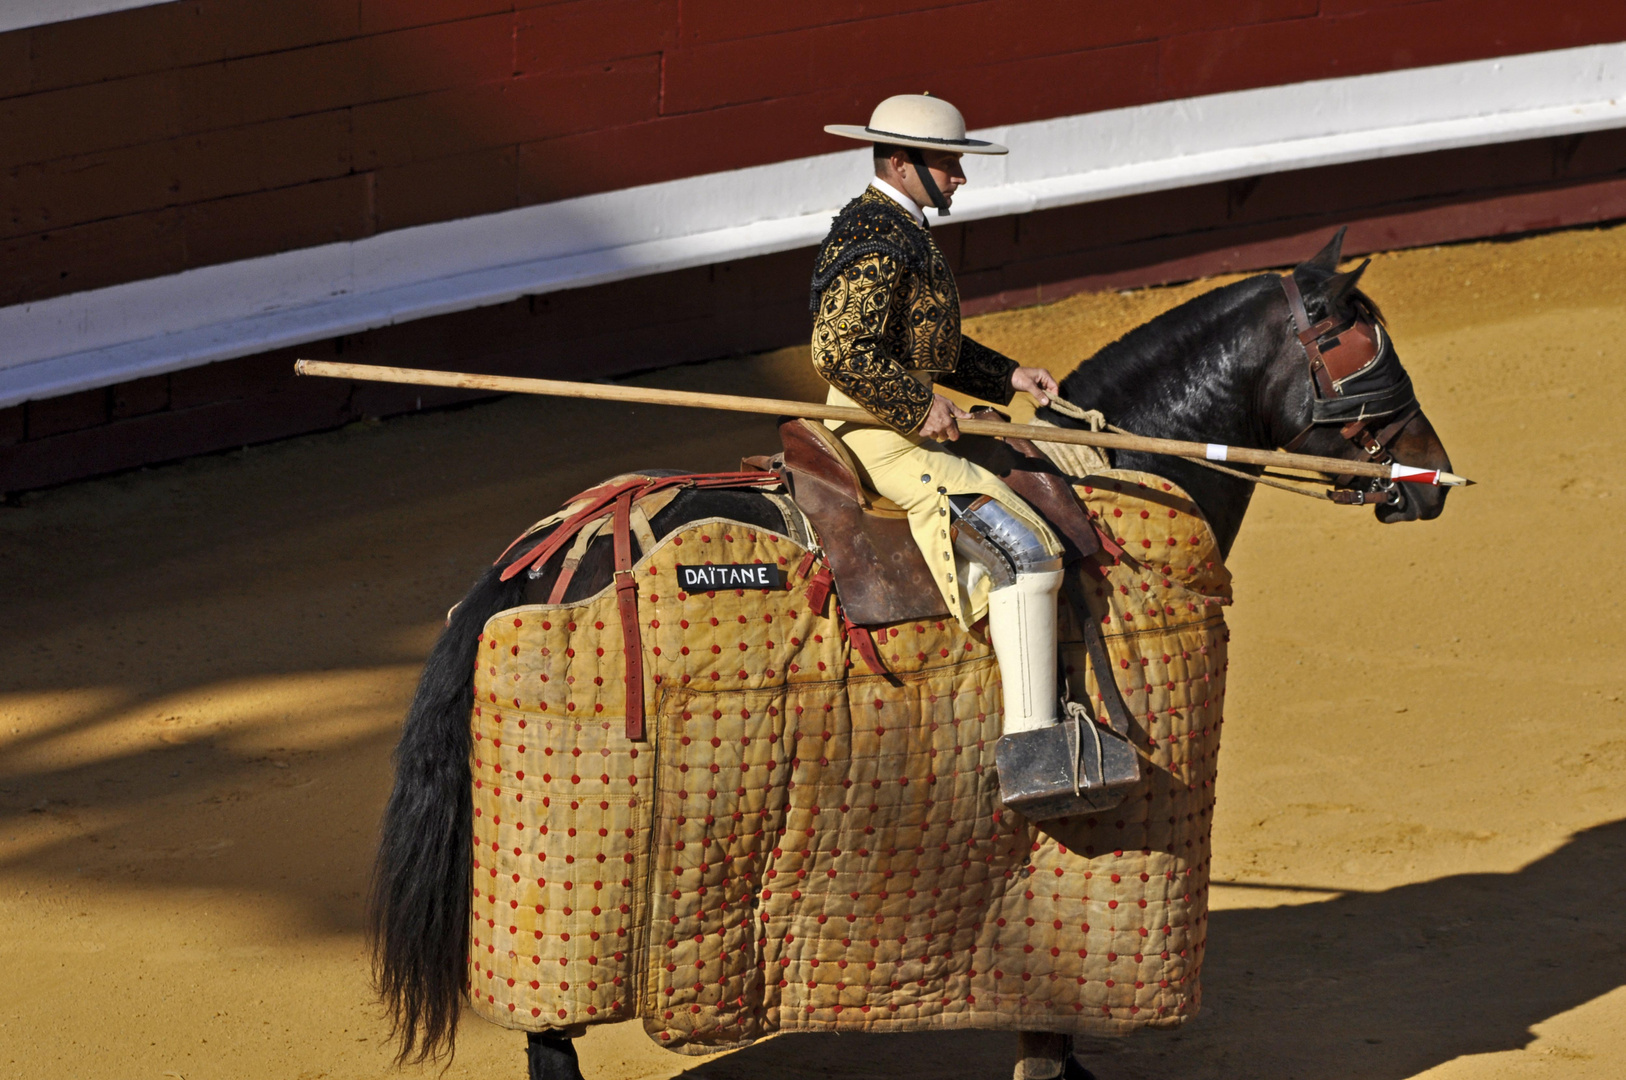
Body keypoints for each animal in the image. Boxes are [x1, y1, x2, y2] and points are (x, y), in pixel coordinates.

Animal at [372, 229, 1463, 1080]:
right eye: (1360, 347)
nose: (1435, 477)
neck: (1120, 469)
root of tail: (526, 561)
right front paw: (1053, 1063)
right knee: (548, 1035)